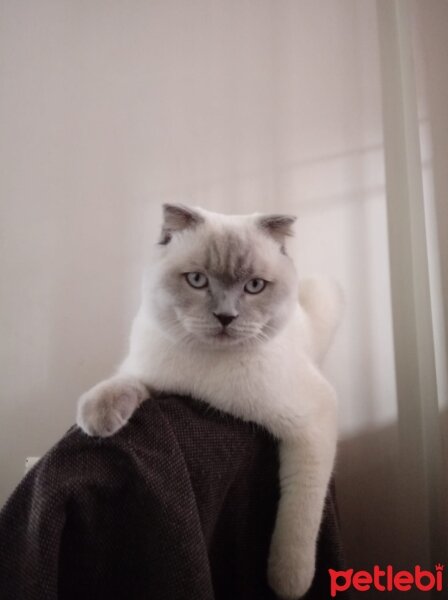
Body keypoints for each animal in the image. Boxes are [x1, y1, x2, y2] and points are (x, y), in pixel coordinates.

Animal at [77, 204, 344, 596]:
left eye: (254, 286)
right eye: (197, 280)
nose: (225, 317)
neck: (206, 375)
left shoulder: (313, 420)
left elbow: (298, 513)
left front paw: (287, 583)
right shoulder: (154, 375)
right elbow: (124, 382)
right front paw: (96, 417)